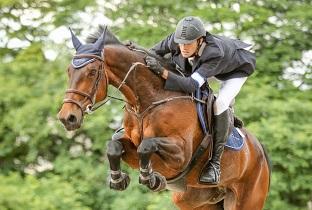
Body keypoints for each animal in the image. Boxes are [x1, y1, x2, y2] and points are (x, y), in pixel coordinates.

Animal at [58, 26, 270, 210]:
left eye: (92, 72)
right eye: (69, 71)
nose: (67, 118)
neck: (149, 99)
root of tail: (261, 152)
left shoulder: (181, 154)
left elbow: (147, 146)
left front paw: (151, 179)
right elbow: (114, 145)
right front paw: (118, 179)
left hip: (246, 198)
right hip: (197, 201)